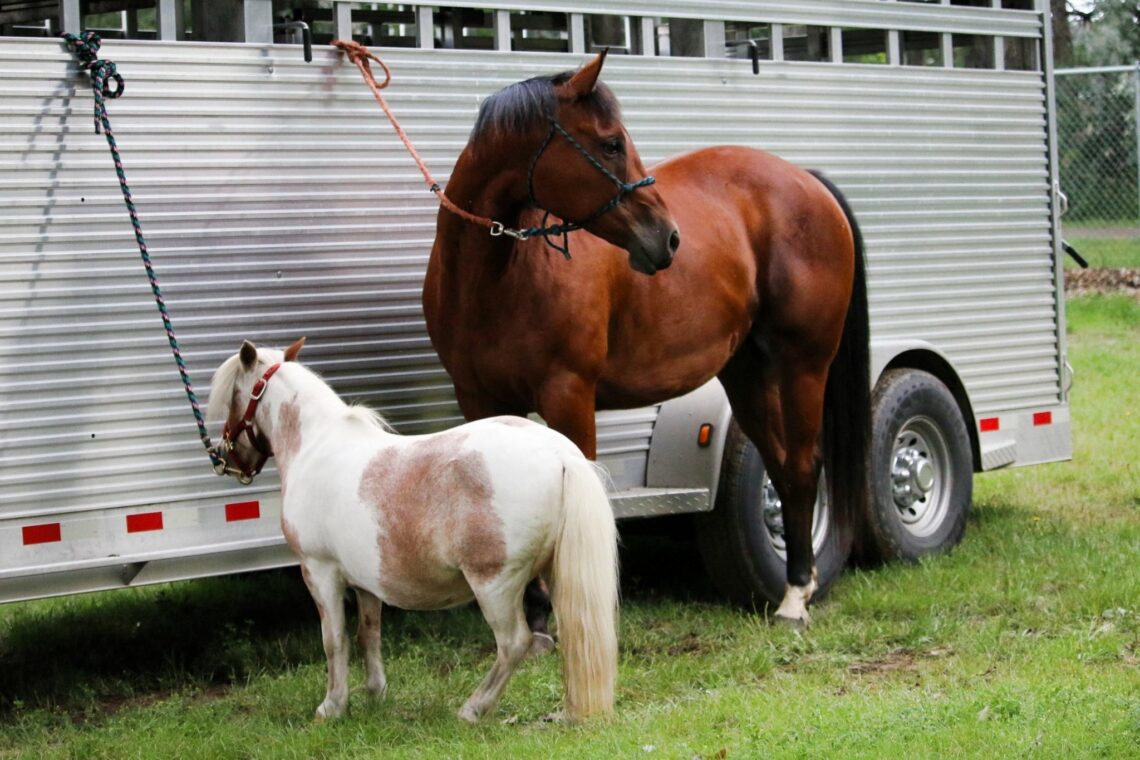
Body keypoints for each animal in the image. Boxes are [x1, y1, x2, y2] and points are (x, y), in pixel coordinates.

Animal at [207, 338, 619, 723]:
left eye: (234, 399)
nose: (225, 456)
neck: (315, 446)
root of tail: (559, 454)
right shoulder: (364, 582)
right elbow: (368, 634)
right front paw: (375, 694)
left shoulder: (319, 571)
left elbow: (334, 640)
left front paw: (332, 707)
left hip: (494, 583)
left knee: (514, 643)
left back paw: (472, 709)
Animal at [423, 51, 870, 627]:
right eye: (611, 143)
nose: (668, 237)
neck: (499, 279)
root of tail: (806, 181)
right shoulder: (480, 401)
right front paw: (533, 615)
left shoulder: (568, 395)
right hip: (746, 373)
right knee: (779, 462)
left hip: (804, 366)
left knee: (801, 465)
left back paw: (795, 595)